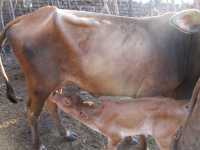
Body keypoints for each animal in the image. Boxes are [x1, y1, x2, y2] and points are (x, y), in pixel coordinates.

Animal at [49, 88, 190, 149]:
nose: (53, 93)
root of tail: (183, 105)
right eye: (69, 94)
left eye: (66, 102)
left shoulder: (115, 135)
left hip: (163, 136)